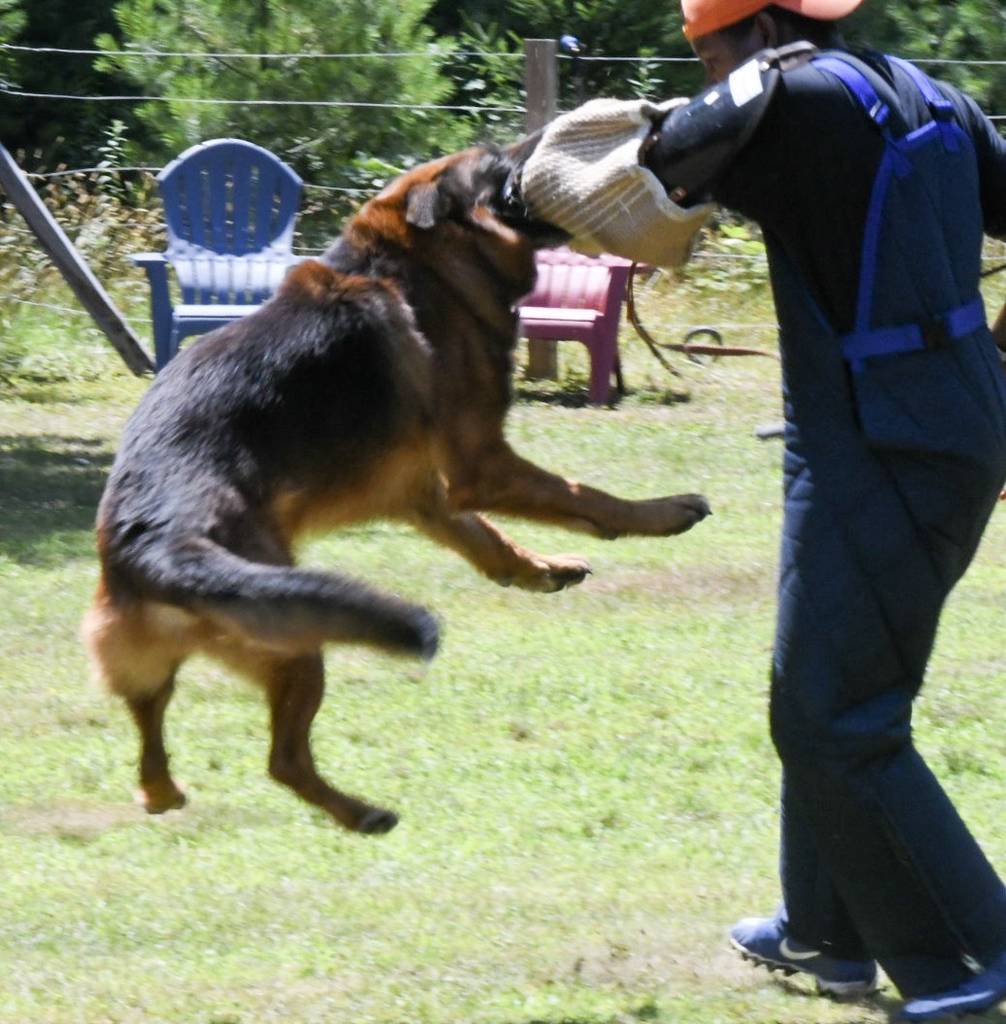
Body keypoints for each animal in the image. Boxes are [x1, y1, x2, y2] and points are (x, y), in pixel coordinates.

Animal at [81, 139, 711, 835]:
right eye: (499, 160)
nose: (540, 143)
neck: (419, 263)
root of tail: (156, 542)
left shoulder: (425, 494)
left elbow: (488, 540)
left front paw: (540, 569)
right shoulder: (481, 464)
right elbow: (579, 494)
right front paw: (661, 512)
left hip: (158, 664)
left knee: (154, 740)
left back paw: (167, 792)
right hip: (297, 644)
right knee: (282, 761)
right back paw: (363, 814)